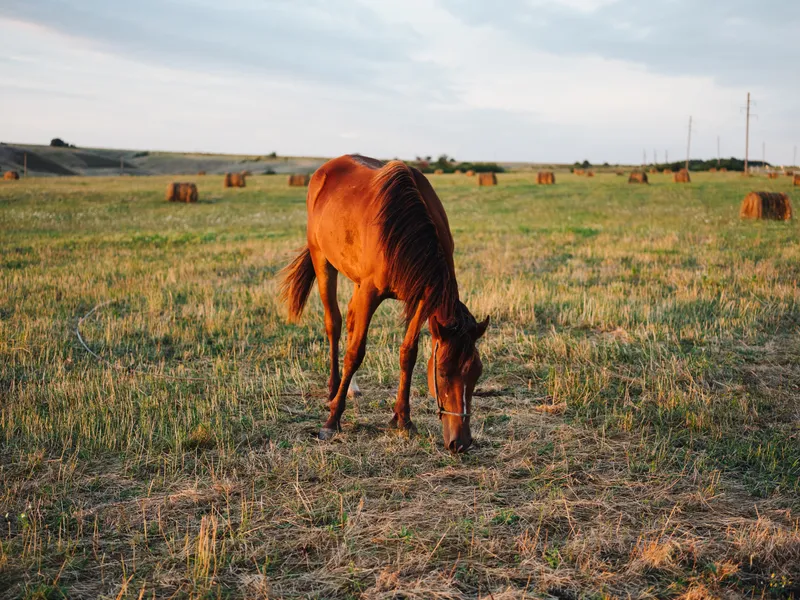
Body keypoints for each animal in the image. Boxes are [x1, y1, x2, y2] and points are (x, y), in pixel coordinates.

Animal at [281, 155, 489, 452]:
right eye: (442, 373)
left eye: (477, 373)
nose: (460, 443)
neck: (406, 229)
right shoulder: (370, 293)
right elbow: (355, 353)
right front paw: (332, 421)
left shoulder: (420, 298)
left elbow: (408, 353)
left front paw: (402, 418)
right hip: (323, 262)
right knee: (334, 323)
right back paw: (333, 390)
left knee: (351, 319)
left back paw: (351, 388)